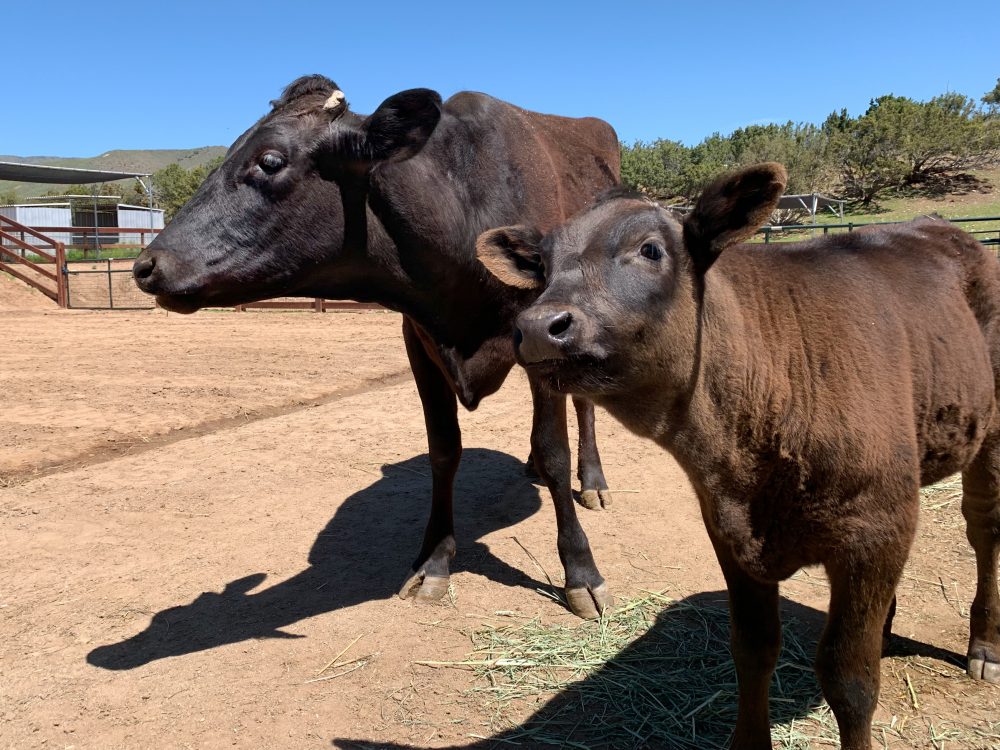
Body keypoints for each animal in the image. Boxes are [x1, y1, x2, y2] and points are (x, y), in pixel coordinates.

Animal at [133, 75, 616, 616]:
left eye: (270, 160)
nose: (146, 265)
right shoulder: (418, 341)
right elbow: (443, 449)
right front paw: (434, 560)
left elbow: (554, 452)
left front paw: (580, 571)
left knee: (583, 405)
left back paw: (593, 481)